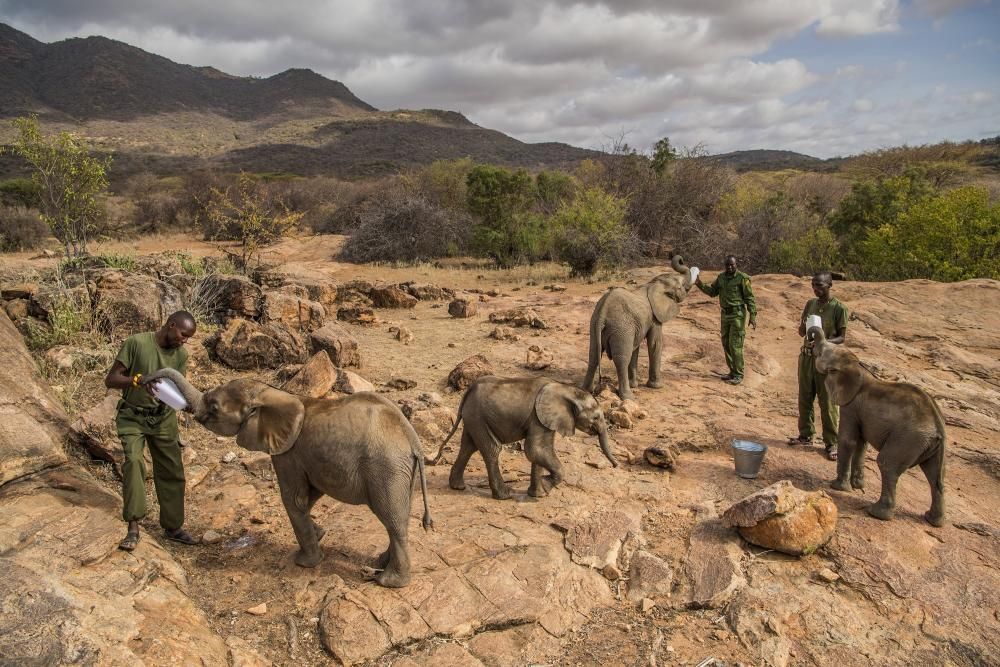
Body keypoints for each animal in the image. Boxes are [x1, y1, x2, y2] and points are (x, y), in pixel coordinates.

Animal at [428, 378, 616, 498]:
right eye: (596, 417)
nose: (616, 466)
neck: (565, 388)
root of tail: (468, 391)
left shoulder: (544, 419)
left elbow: (539, 452)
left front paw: (538, 494)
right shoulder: (538, 417)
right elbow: (534, 450)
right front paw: (546, 487)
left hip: (474, 418)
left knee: (468, 447)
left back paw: (458, 487)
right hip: (478, 416)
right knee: (492, 449)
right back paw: (504, 495)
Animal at [812, 328, 944, 528]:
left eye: (820, 354)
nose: (809, 338)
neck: (858, 366)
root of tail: (937, 426)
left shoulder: (851, 405)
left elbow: (849, 441)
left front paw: (838, 487)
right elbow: (861, 444)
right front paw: (857, 486)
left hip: (909, 438)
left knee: (887, 463)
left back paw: (876, 513)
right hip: (930, 445)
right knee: (935, 475)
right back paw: (932, 520)